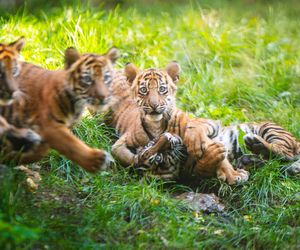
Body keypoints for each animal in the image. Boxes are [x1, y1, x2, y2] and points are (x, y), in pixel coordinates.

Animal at [103, 62, 248, 184]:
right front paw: (141, 159)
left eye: (162, 89)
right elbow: (122, 155)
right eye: (143, 90)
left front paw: (233, 175)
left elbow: (202, 137)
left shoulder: (207, 123)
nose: (154, 105)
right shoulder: (121, 142)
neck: (156, 125)